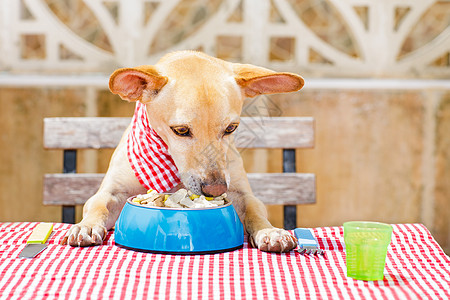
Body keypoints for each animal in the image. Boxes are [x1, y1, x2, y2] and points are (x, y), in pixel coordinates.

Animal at [61, 51, 304, 253]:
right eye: (181, 130)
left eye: (231, 128)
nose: (216, 189)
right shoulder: (111, 192)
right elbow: (98, 206)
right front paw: (86, 226)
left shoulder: (242, 194)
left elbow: (255, 210)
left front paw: (269, 231)